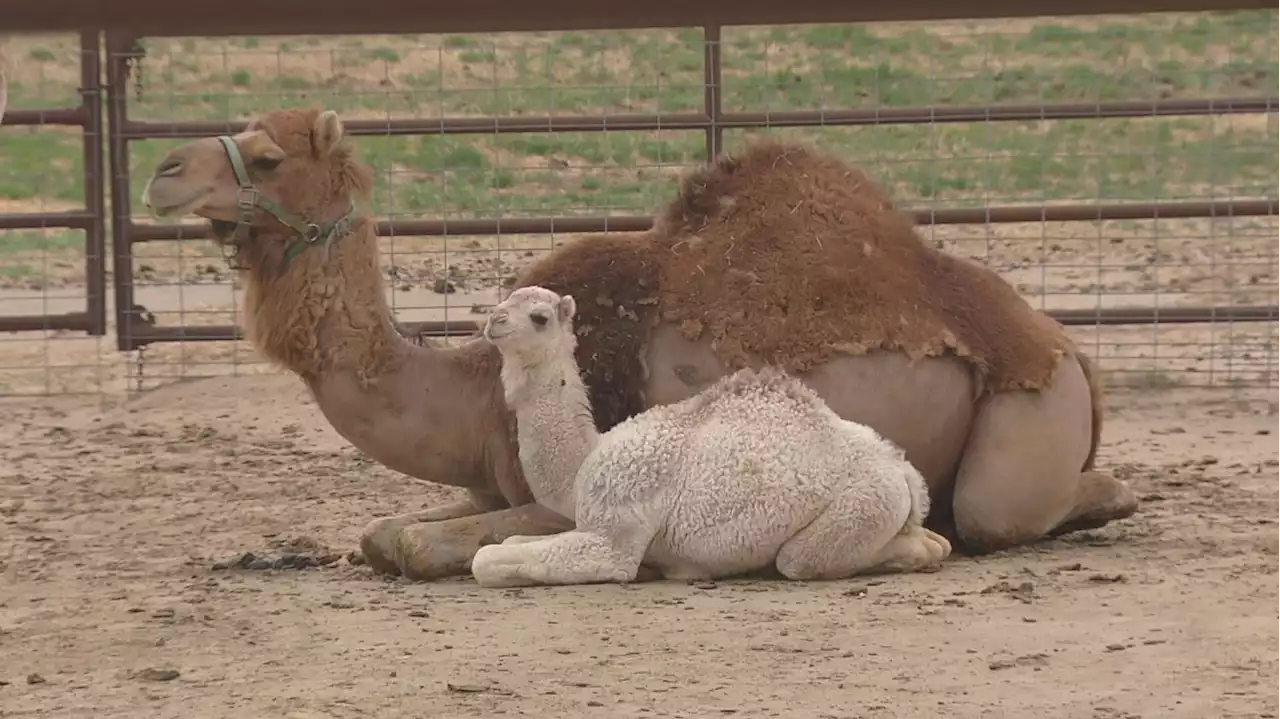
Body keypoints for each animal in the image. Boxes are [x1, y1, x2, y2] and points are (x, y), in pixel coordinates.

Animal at [471, 282, 952, 585]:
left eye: (539, 317)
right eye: (506, 299)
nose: (493, 320)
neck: (583, 465)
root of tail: (904, 472)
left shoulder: (614, 534)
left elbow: (485, 560)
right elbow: (509, 542)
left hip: (861, 505)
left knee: (801, 559)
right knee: (934, 541)